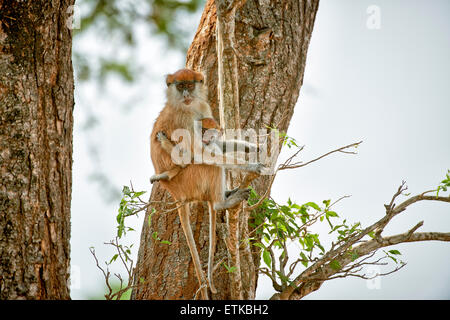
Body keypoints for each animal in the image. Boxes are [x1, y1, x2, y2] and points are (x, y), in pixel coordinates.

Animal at [151, 68, 262, 300]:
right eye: (180, 86)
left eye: (190, 85)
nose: (186, 94)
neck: (184, 105)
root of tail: (174, 191)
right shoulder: (184, 118)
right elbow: (199, 153)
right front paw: (252, 165)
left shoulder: (201, 108)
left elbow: (217, 142)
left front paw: (251, 148)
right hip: (189, 178)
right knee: (209, 165)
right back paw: (222, 203)